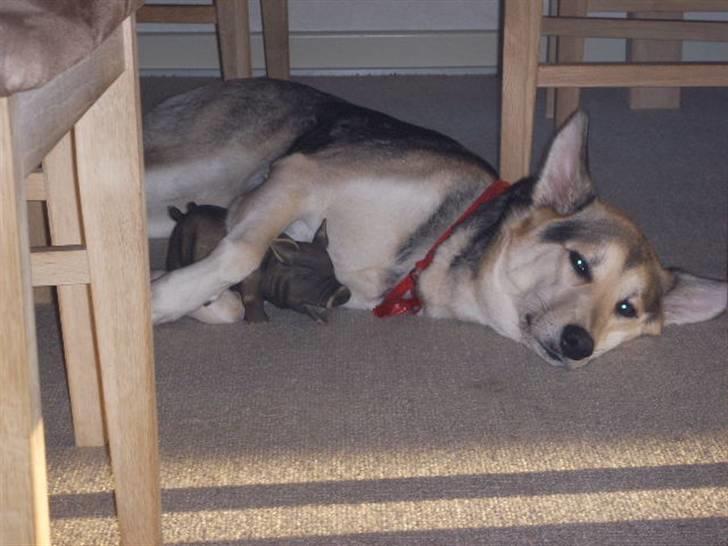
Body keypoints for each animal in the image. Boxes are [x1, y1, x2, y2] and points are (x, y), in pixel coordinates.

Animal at [144, 78, 728, 368]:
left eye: (627, 308)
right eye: (580, 263)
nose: (578, 344)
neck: (436, 245)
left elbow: (230, 289)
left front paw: (177, 291)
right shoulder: (296, 174)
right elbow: (241, 254)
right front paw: (162, 298)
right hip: (196, 166)